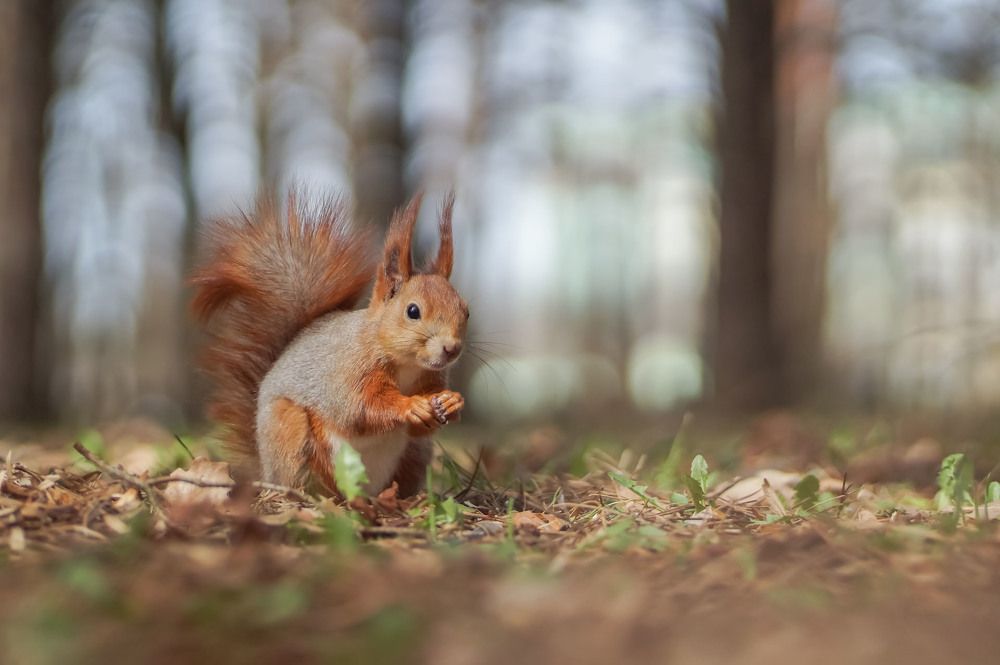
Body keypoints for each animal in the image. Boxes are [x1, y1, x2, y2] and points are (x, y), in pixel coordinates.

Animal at [191, 192, 468, 497]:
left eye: (466, 311)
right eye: (413, 311)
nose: (452, 349)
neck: (406, 364)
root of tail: (265, 470)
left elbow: (420, 426)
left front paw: (451, 401)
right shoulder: (347, 372)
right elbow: (359, 409)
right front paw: (411, 406)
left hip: (414, 454)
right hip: (290, 430)